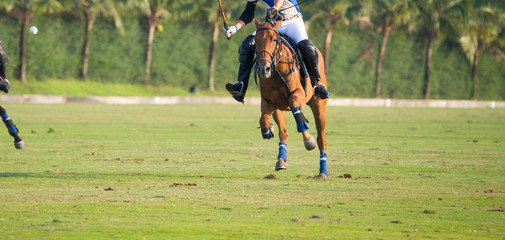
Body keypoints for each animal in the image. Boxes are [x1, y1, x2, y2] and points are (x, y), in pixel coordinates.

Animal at [254, 20, 328, 178]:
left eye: (273, 39)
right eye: (255, 41)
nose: (264, 69)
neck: (277, 71)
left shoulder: (298, 95)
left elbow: (295, 106)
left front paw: (308, 140)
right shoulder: (269, 102)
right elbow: (263, 120)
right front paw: (267, 130)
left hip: (319, 106)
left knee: (321, 138)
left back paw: (322, 172)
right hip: (279, 110)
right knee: (284, 133)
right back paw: (281, 161)